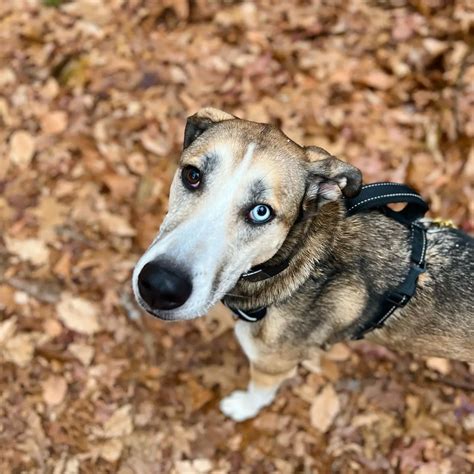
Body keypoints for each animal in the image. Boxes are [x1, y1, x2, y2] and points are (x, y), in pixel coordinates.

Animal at [132, 108, 474, 422]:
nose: (160, 286)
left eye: (261, 212)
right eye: (192, 176)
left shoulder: (272, 364)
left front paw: (242, 408)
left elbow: (259, 393)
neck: (296, 261)